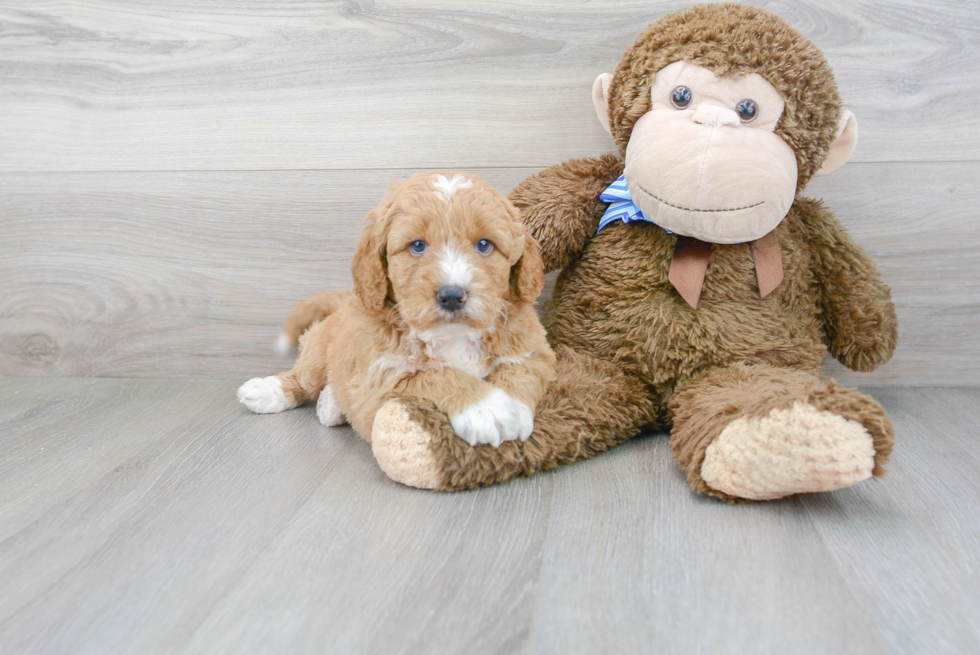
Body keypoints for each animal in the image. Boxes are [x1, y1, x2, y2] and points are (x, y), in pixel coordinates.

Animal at [237, 172, 556, 452]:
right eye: (417, 245)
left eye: (484, 245)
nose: (452, 296)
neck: (452, 336)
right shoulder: (384, 377)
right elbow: (436, 375)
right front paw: (487, 408)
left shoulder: (535, 351)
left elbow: (519, 371)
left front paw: (512, 409)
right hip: (318, 349)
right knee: (304, 377)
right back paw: (268, 391)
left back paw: (330, 405)